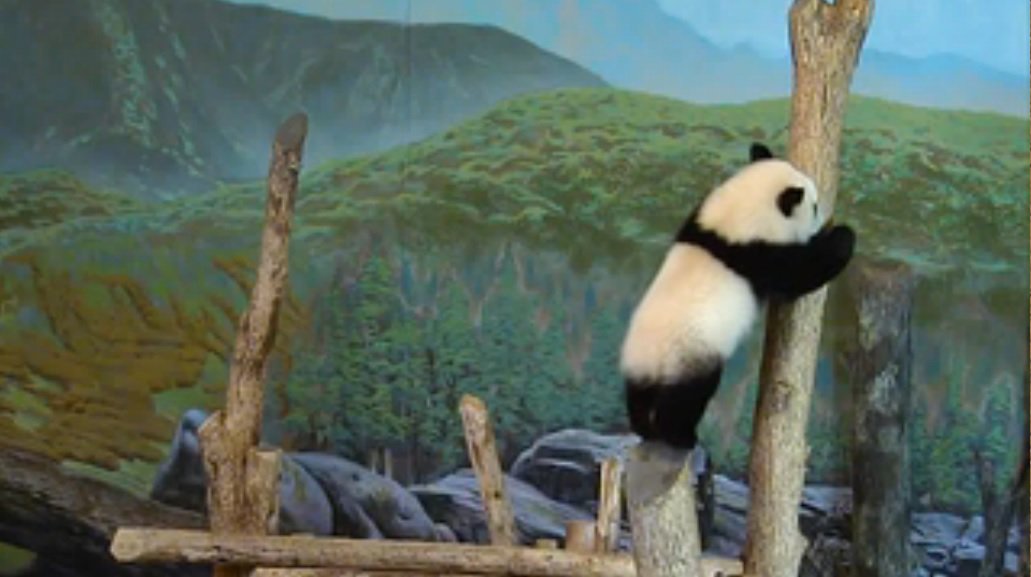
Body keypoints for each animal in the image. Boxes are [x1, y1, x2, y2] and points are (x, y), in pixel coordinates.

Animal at [620, 142, 855, 450]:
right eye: (814, 206)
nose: (823, 216)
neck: (739, 213)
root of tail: (651, 360)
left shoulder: (699, 217)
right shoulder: (761, 255)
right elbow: (803, 273)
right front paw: (842, 236)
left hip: (640, 362)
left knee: (637, 396)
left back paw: (644, 428)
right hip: (690, 356)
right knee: (685, 399)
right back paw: (679, 436)